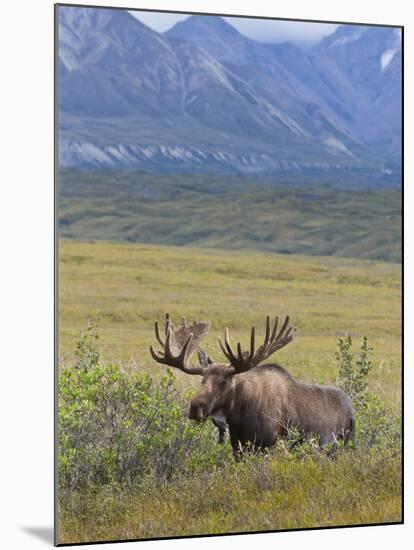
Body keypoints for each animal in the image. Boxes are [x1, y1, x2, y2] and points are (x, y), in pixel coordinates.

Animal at [150, 312, 354, 460]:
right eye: (203, 380)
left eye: (223, 382)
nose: (195, 407)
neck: (238, 417)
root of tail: (352, 408)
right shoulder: (238, 447)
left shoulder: (268, 445)